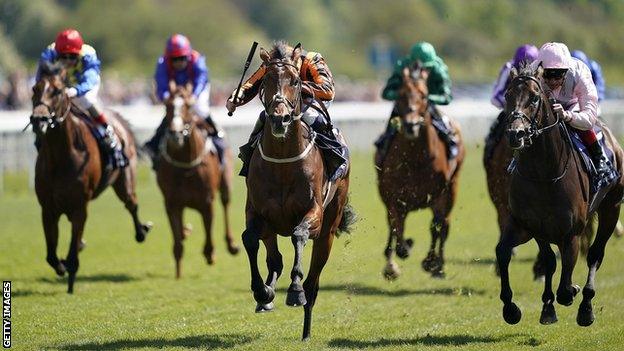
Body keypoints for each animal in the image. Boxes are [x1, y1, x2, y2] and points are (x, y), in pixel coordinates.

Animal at [31, 61, 152, 294]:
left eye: (57, 91)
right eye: (34, 89)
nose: (38, 119)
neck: (61, 157)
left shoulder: (80, 206)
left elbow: (71, 254)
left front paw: (70, 277)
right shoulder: (48, 208)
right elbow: (51, 254)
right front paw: (61, 265)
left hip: (124, 180)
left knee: (131, 204)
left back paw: (142, 231)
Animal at [156, 81, 239, 280]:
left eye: (188, 105)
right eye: (167, 105)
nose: (175, 134)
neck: (186, 165)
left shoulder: (206, 201)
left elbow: (208, 229)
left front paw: (210, 254)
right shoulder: (171, 203)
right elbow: (177, 242)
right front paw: (178, 273)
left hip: (226, 181)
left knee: (226, 203)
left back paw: (231, 244)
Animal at [241, 43, 354, 340]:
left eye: (294, 81)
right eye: (266, 81)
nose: (279, 119)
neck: (282, 163)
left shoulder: (313, 213)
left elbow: (299, 234)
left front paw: (294, 291)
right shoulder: (257, 212)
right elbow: (249, 239)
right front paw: (262, 291)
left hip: (328, 230)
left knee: (313, 284)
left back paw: (305, 328)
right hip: (271, 227)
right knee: (275, 260)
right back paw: (267, 297)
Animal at [376, 66, 464, 280]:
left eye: (424, 95)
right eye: (401, 94)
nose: (411, 125)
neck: (415, 160)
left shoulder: (440, 195)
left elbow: (437, 226)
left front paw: (431, 263)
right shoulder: (394, 197)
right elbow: (396, 227)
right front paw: (395, 261)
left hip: (452, 187)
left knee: (443, 226)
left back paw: (437, 266)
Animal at [494, 64, 620, 328]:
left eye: (534, 98)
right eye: (508, 95)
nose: (515, 134)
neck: (544, 174)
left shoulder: (571, 232)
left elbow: (565, 285)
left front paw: (572, 291)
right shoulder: (530, 226)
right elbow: (509, 252)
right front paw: (514, 309)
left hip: (611, 208)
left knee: (595, 254)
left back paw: (586, 307)